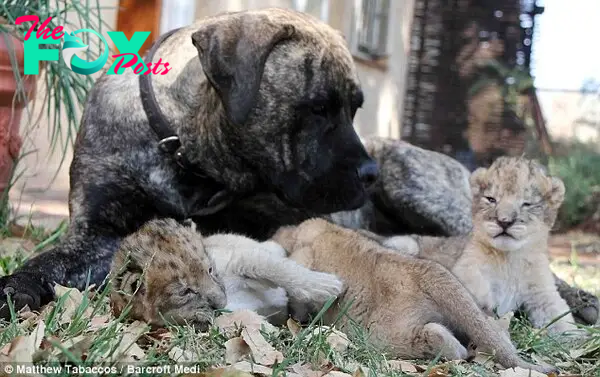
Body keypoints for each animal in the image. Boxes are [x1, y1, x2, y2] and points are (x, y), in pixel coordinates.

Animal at [0, 7, 596, 324]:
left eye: (355, 107)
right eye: (318, 108)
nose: (368, 175)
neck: (187, 156)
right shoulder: (95, 231)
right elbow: (46, 262)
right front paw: (15, 286)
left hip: (421, 184)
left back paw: (579, 299)